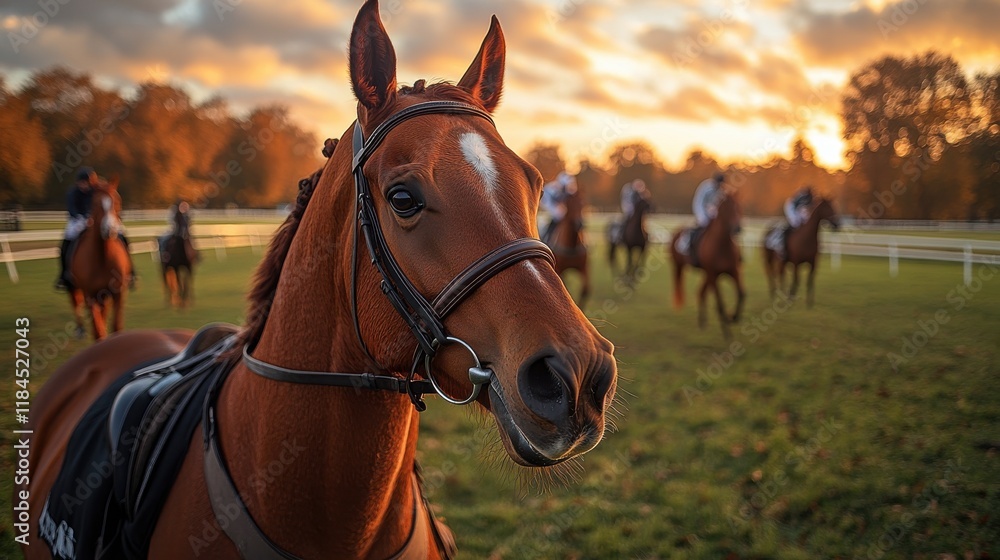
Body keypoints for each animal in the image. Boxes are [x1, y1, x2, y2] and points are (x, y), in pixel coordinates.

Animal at [66, 177, 131, 340]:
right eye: (95, 203)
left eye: (117, 200)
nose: (109, 230)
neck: (103, 257)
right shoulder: (90, 295)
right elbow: (98, 330)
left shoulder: (118, 293)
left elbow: (117, 326)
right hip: (75, 288)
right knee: (76, 303)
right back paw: (80, 329)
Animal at [669, 191, 746, 339]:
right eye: (728, 208)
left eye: (740, 207)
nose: (738, 229)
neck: (722, 245)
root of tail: (676, 231)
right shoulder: (713, 274)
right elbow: (720, 304)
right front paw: (727, 332)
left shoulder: (734, 271)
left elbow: (742, 294)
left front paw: (733, 317)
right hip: (680, 267)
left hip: (706, 274)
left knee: (700, 293)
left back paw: (702, 323)